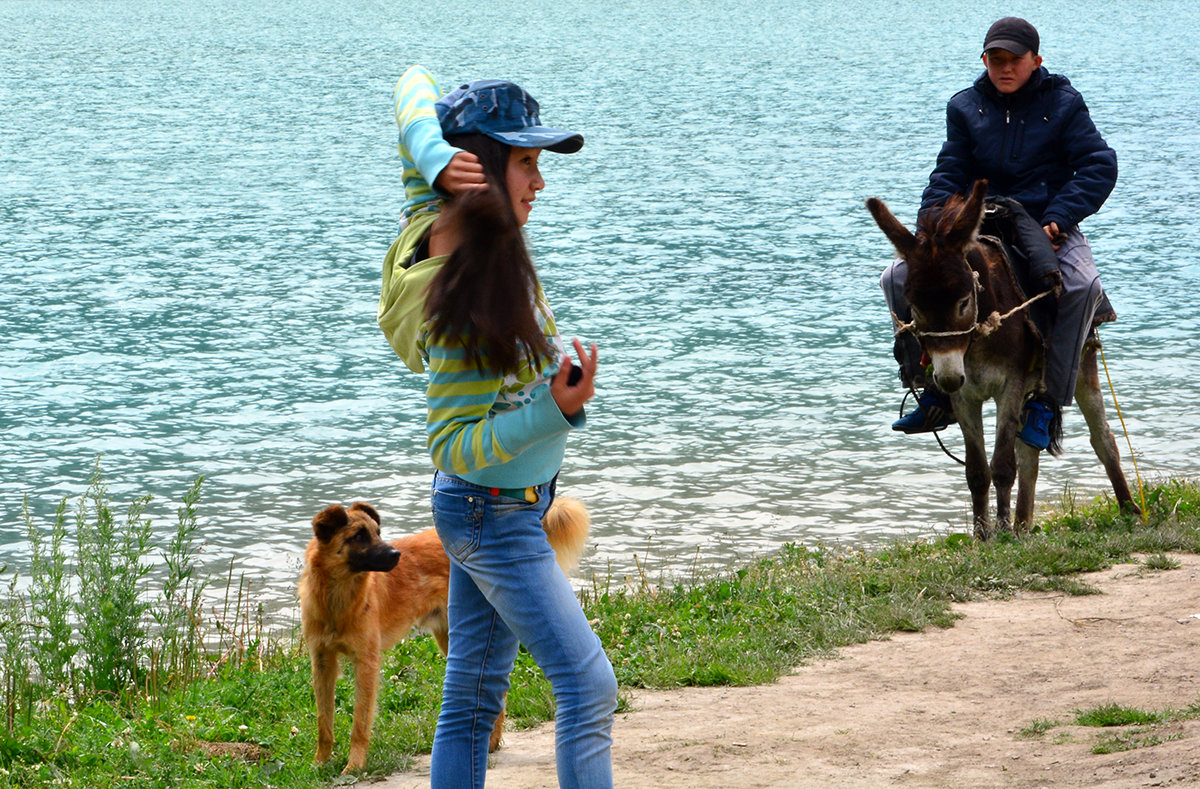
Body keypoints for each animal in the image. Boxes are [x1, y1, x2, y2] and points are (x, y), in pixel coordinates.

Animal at [300, 494, 590, 772]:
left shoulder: (366, 663)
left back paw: (491, 741)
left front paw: (354, 765)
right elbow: (324, 721)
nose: (396, 554)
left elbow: (359, 724)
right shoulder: (322, 661)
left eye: (377, 532)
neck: (336, 601)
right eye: (358, 536)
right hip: (450, 637)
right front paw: (320, 762)